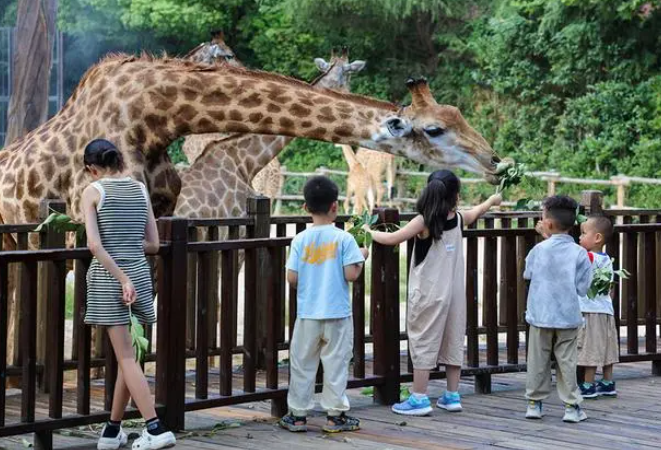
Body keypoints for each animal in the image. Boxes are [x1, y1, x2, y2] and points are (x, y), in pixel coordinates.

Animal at [1, 53, 500, 366]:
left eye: (458, 113)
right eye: (434, 129)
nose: (495, 161)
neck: (155, 114)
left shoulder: (159, 218)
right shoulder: (89, 219)